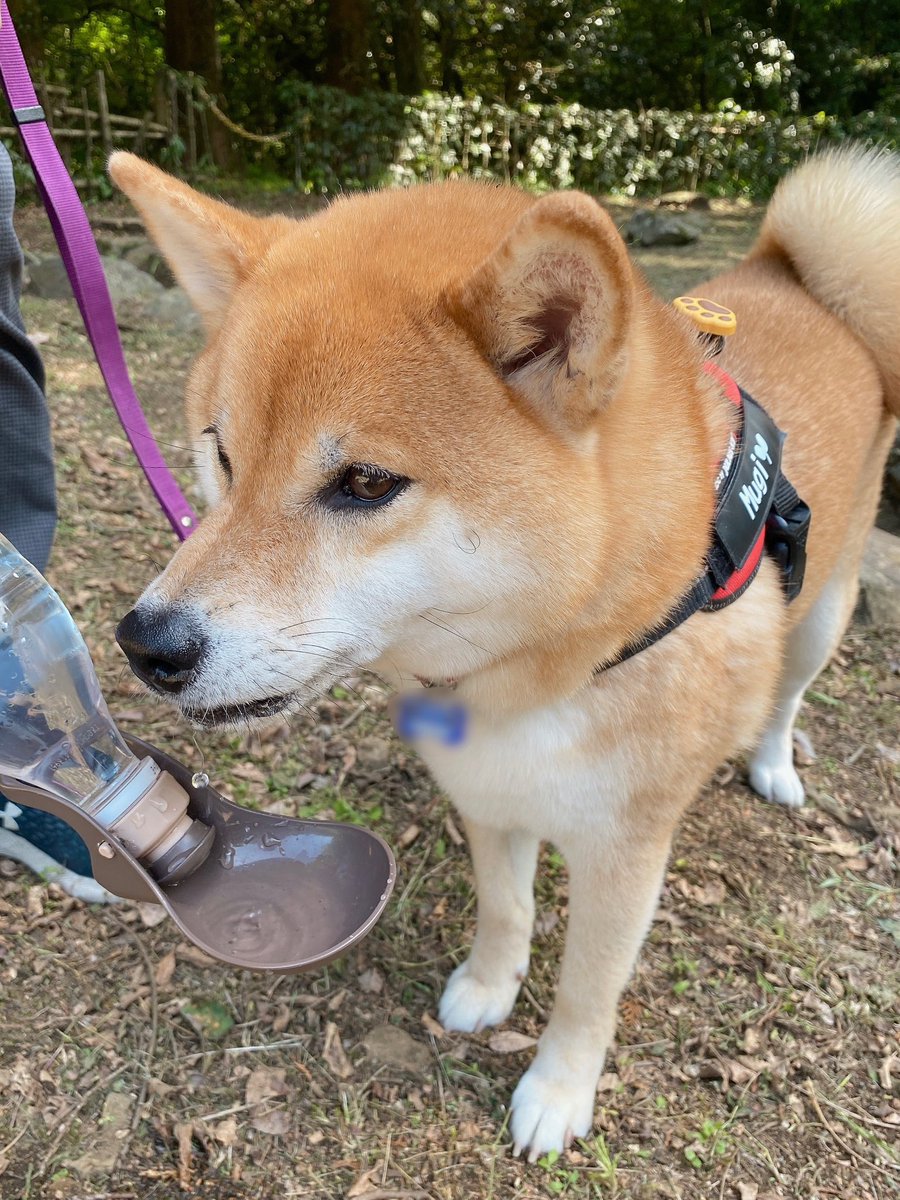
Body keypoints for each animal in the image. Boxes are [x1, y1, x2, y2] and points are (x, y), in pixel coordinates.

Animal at [112, 145, 900, 1156]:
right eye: (221, 456)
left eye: (364, 482)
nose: (146, 644)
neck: (548, 672)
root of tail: (791, 274)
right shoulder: (487, 795)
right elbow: (506, 906)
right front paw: (488, 989)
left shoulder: (625, 853)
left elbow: (589, 989)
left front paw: (558, 1092)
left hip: (825, 612)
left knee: (786, 696)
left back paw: (772, 765)